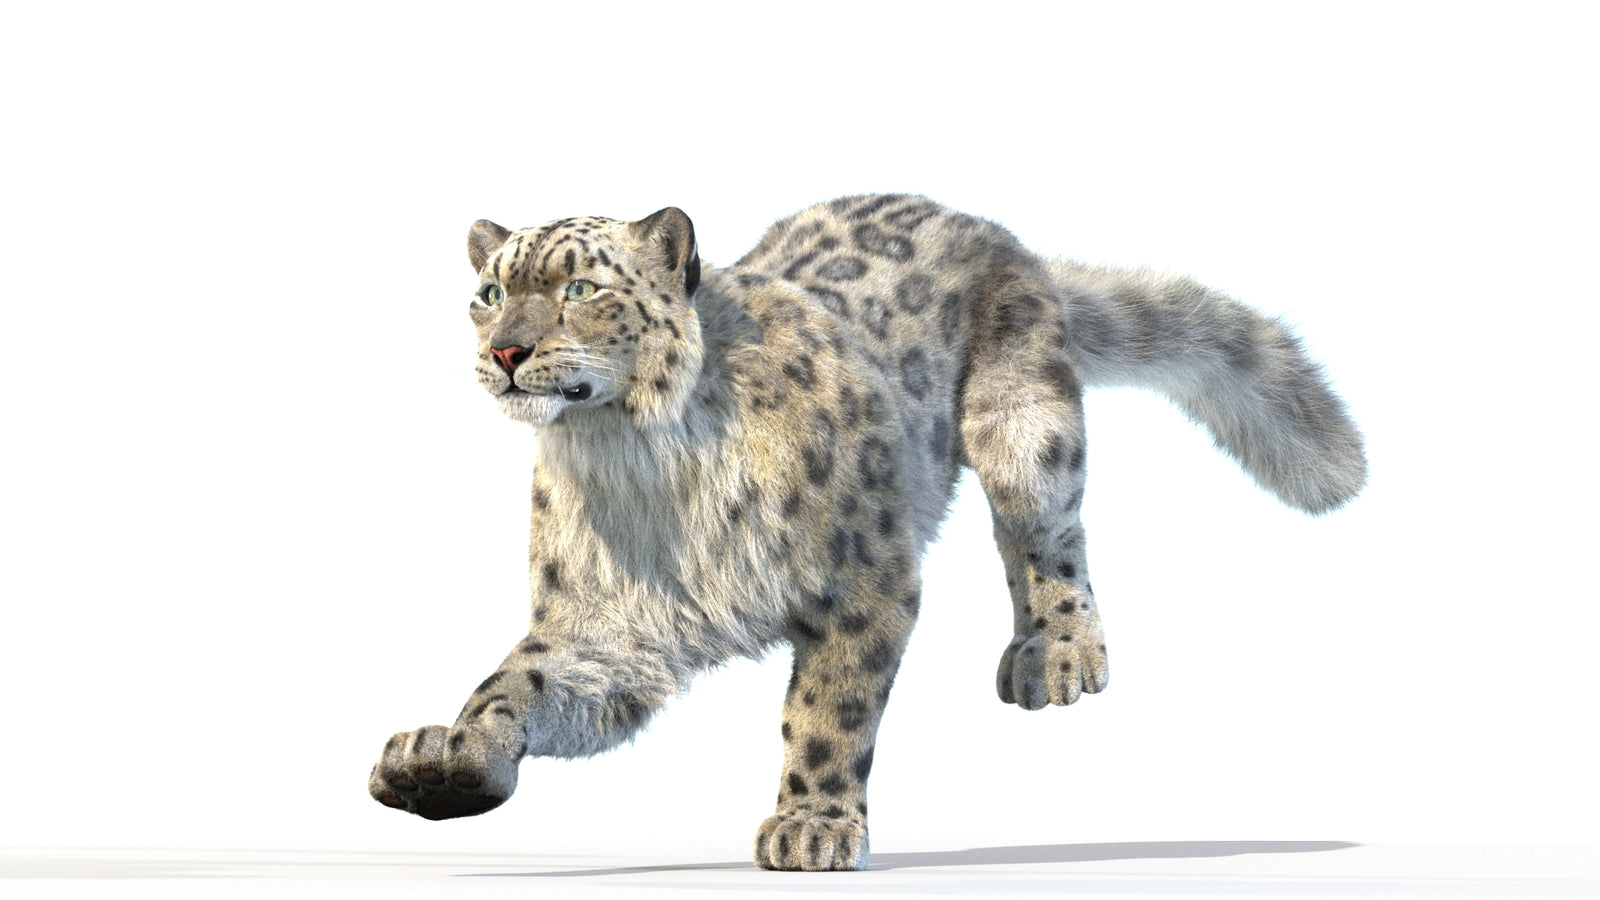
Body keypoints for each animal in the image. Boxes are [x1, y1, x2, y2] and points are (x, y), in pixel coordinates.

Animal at [367, 193, 1366, 871]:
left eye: (580, 286)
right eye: (487, 292)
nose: (505, 350)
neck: (636, 463)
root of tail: (992, 228)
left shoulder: (866, 579)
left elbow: (827, 711)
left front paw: (812, 826)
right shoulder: (609, 624)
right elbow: (522, 681)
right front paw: (446, 756)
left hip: (1021, 424)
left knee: (1046, 532)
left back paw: (1056, 655)